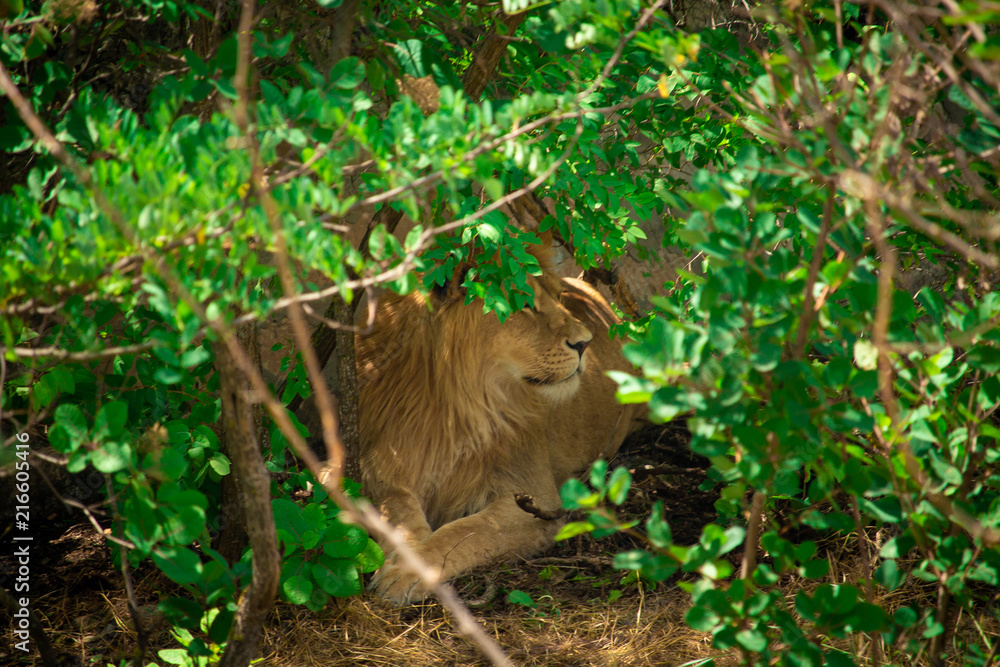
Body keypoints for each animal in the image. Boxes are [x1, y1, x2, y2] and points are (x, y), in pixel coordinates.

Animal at [356, 245, 644, 604]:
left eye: (558, 297)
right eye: (525, 304)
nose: (585, 343)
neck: (453, 406)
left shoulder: (537, 500)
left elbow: (466, 532)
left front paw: (406, 572)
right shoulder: (382, 470)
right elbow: (398, 516)